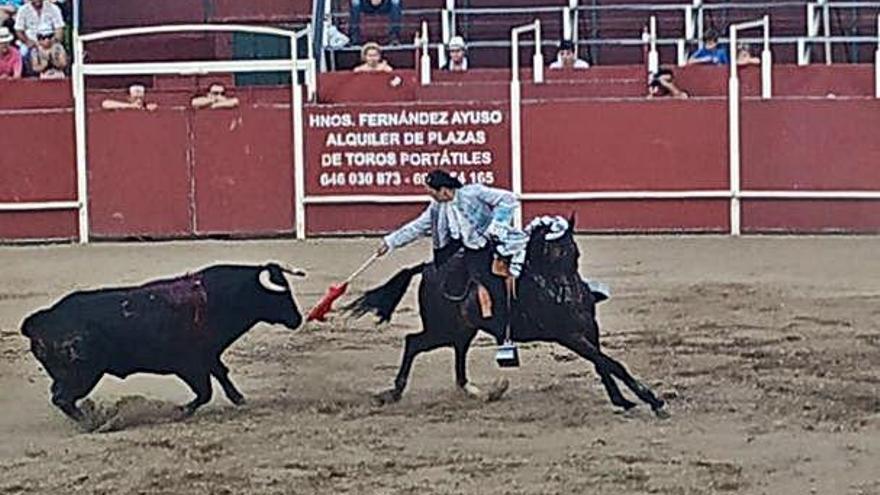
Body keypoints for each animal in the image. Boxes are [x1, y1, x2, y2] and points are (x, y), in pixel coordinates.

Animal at [21, 264, 302, 426]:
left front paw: (238, 398)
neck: (217, 298)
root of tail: (41, 320)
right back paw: (92, 422)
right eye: (283, 294)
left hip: (70, 374)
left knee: (60, 397)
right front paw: (181, 410)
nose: (297, 319)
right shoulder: (190, 365)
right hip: (81, 374)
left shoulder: (208, 356)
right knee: (62, 398)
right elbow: (205, 392)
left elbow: (221, 374)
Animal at [346, 219, 668, 416]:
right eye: (548, 254)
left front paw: (622, 399)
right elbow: (612, 363)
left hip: (462, 328)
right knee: (413, 342)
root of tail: (427, 267)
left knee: (455, 351)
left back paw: (474, 390)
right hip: (442, 328)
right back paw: (394, 392)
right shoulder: (569, 335)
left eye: (574, 253)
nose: (566, 294)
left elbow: (603, 364)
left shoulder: (590, 330)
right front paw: (652, 400)